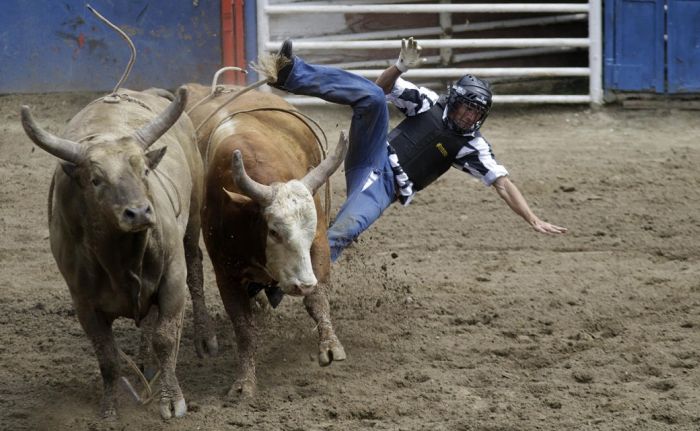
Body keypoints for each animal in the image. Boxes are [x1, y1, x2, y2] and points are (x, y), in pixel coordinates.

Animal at [21, 88, 216, 422]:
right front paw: (110, 405)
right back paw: (143, 360)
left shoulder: (172, 278)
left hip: (193, 221)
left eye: (144, 170)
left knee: (196, 269)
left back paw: (202, 339)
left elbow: (166, 338)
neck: (120, 258)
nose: (138, 213)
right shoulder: (83, 302)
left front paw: (171, 399)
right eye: (96, 179)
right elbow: (107, 355)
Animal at [185, 83, 348, 398]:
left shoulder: (319, 243)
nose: (302, 284)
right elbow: (244, 327)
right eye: (274, 231)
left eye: (310, 230)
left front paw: (330, 346)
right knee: (193, 267)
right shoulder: (225, 272)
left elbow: (318, 299)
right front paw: (244, 382)